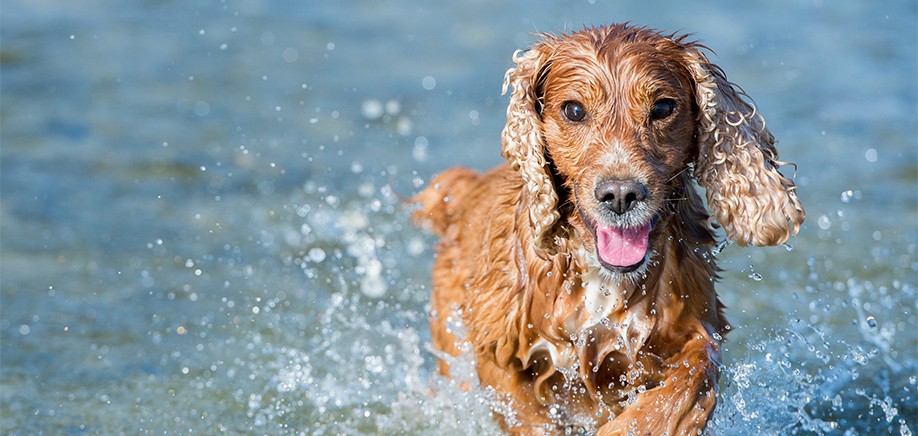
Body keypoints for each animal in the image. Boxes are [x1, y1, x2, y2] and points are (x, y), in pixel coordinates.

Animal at [412, 24, 804, 436]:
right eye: (574, 110)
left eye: (662, 108)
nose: (620, 194)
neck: (600, 278)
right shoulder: (498, 350)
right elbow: (526, 412)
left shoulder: (696, 327)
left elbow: (692, 378)